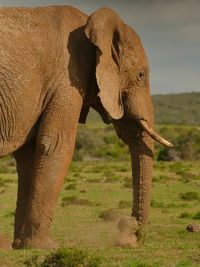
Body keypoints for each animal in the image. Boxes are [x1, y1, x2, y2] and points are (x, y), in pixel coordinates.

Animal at [0, 5, 172, 250]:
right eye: (141, 75)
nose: (129, 228)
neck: (91, 24)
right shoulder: (67, 79)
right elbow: (56, 145)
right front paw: (46, 247)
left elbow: (29, 154)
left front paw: (22, 245)